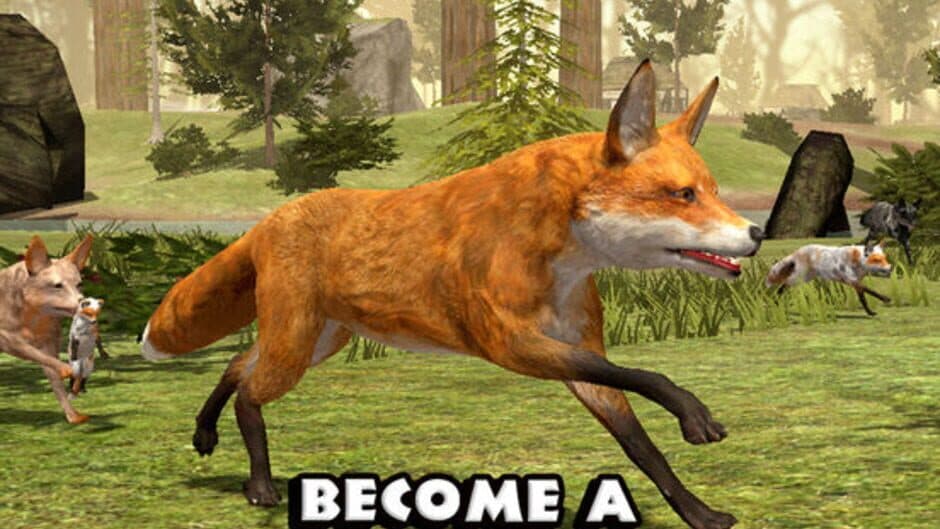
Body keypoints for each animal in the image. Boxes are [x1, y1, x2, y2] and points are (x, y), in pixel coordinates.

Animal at [0, 235, 94, 424]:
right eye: (57, 286)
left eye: (79, 284)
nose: (84, 303)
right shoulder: (6, 338)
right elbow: (36, 354)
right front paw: (68, 369)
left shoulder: (49, 342)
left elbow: (55, 379)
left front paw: (73, 416)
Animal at [141, 61, 764, 529]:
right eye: (683, 195)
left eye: (713, 191)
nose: (758, 233)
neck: (556, 250)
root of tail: (273, 217)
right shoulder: (512, 343)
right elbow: (646, 376)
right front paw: (694, 413)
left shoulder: (578, 355)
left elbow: (642, 447)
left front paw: (699, 514)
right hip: (296, 347)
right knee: (249, 393)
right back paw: (259, 483)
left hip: (318, 342)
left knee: (237, 368)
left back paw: (203, 433)